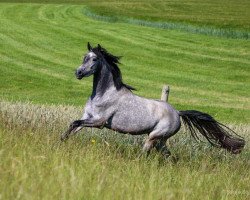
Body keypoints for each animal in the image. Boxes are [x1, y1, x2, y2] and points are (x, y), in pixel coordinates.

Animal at [61, 42, 246, 158]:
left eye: (94, 59)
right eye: (84, 56)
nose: (78, 72)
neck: (105, 93)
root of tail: (177, 112)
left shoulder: (99, 122)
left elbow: (75, 123)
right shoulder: (87, 117)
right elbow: (73, 125)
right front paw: (61, 142)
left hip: (153, 137)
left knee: (146, 154)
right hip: (160, 141)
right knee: (170, 157)